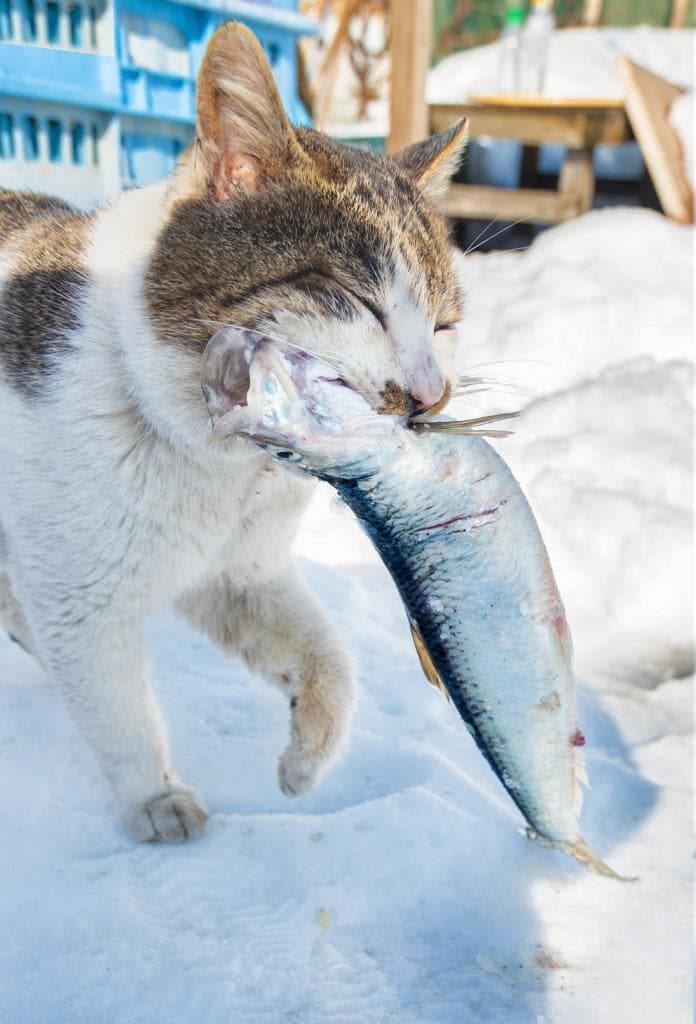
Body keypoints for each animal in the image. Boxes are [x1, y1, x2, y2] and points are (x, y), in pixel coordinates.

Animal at [0, 22, 466, 839]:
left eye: (443, 327)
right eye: (357, 302)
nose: (429, 395)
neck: (216, 468)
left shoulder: (236, 574)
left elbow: (331, 659)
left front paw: (307, 760)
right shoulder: (78, 598)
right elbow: (117, 711)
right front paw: (153, 799)